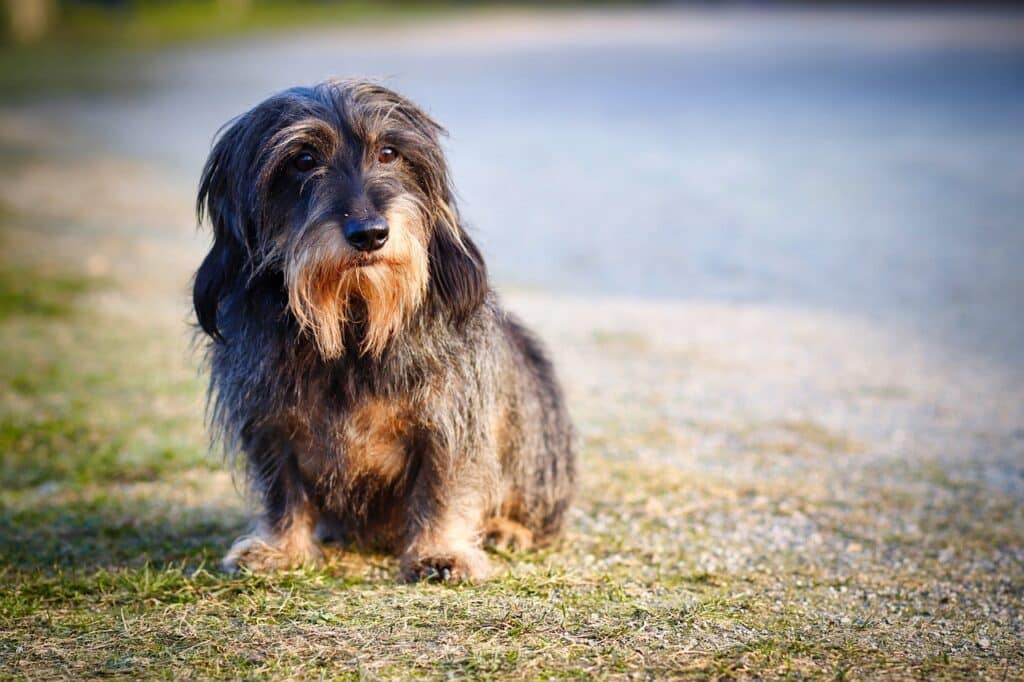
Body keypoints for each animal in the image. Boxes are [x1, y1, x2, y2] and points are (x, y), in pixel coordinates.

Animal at [192, 78, 577, 577]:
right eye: (303, 160)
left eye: (390, 152)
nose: (370, 233)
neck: (354, 322)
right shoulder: (269, 421)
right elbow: (282, 489)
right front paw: (281, 549)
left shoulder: (450, 417)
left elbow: (442, 484)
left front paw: (440, 550)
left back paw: (509, 528)